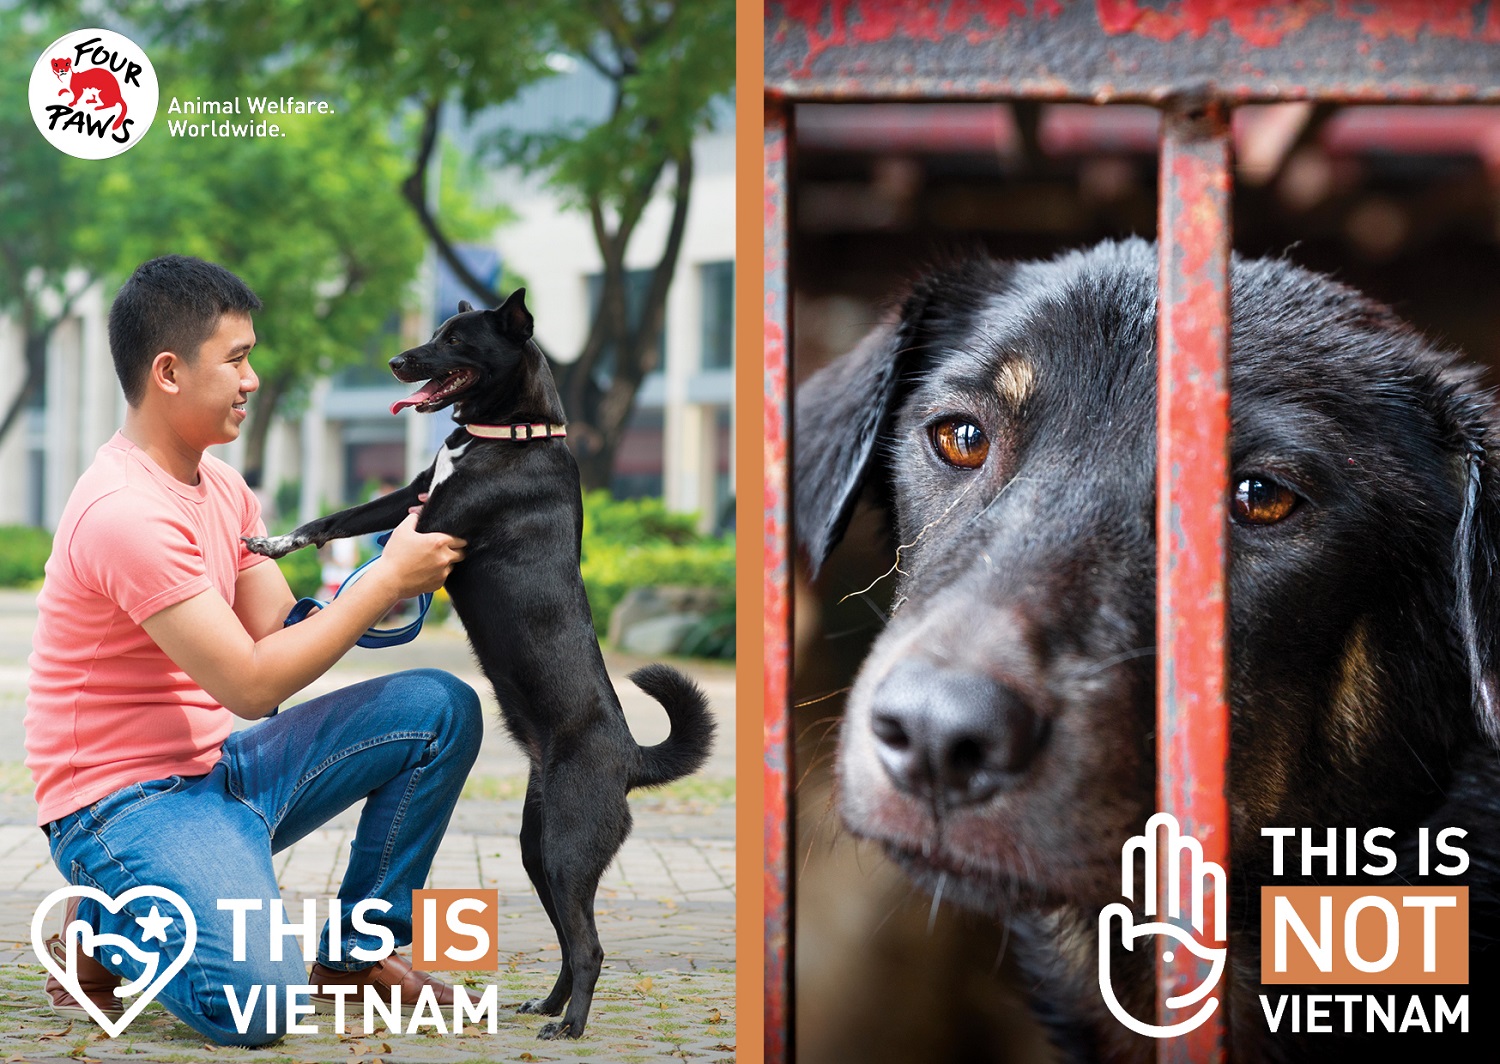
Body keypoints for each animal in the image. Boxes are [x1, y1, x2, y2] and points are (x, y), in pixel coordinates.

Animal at [246, 288, 714, 1038]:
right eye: (435, 330)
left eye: (456, 340)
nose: (395, 360)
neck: (509, 435)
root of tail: (631, 757)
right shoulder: (408, 496)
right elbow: (335, 519)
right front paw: (275, 541)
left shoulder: (431, 524)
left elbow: (368, 550)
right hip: (538, 848)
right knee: (569, 939)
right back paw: (549, 1005)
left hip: (566, 845)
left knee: (590, 945)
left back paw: (570, 1024)